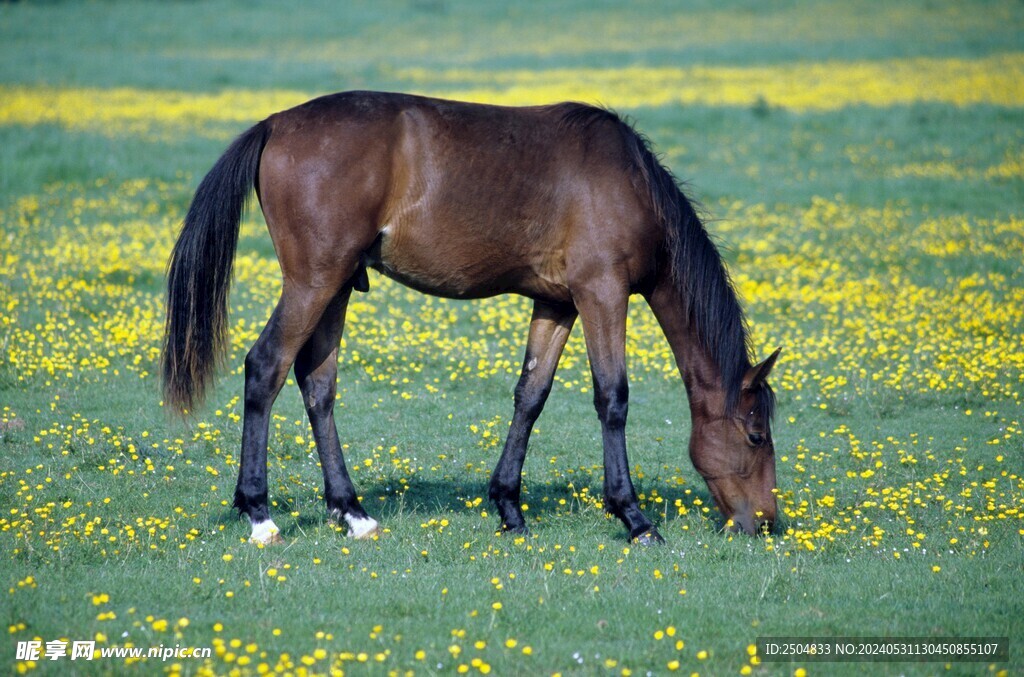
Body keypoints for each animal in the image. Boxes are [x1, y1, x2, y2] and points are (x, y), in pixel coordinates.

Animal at [162, 91, 780, 545]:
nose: (768, 523)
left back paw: (351, 511)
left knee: (317, 384)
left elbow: (531, 396)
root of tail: (275, 123)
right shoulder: (602, 293)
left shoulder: (557, 303)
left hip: (336, 286)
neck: (628, 183)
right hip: (313, 281)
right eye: (755, 435)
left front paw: (509, 506)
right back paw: (259, 514)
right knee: (265, 367)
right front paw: (632, 517)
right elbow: (613, 398)